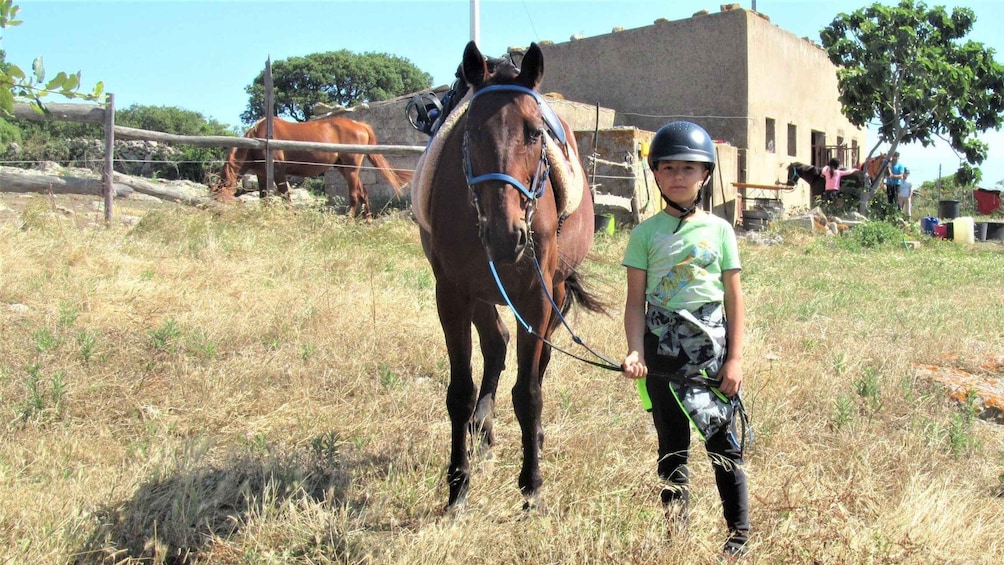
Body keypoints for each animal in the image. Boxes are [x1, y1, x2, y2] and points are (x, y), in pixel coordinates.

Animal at [216, 115, 411, 217]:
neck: (259, 138)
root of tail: (360, 125)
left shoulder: (278, 171)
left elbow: (285, 196)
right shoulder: (262, 174)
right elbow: (264, 198)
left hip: (351, 169)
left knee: (355, 195)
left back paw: (348, 222)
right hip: (344, 169)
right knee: (363, 192)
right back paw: (367, 222)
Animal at [417, 39, 602, 507]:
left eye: (535, 133)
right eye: (471, 133)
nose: (505, 237)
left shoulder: (535, 296)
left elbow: (529, 393)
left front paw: (531, 483)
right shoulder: (452, 293)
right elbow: (460, 392)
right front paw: (458, 483)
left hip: (554, 293)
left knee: (538, 361)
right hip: (483, 294)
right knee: (496, 344)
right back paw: (481, 425)